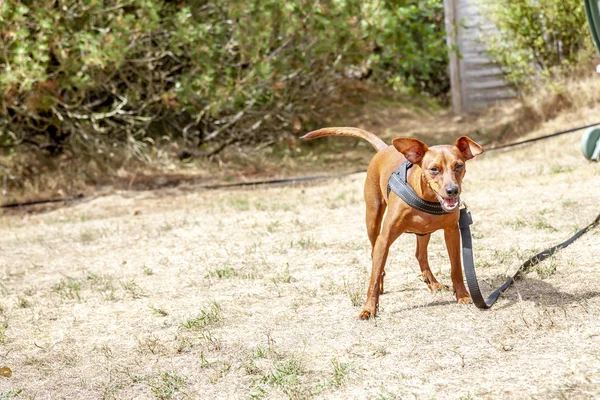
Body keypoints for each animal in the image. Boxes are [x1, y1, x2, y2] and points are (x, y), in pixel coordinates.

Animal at [300, 126, 482, 320]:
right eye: (434, 169)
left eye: (459, 165)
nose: (452, 190)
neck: (427, 197)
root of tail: (385, 148)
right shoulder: (384, 238)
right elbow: (373, 277)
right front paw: (369, 309)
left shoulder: (452, 232)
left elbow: (456, 268)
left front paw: (462, 294)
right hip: (373, 219)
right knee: (375, 256)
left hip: (423, 232)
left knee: (420, 254)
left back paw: (432, 283)